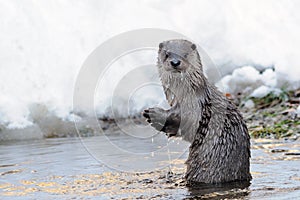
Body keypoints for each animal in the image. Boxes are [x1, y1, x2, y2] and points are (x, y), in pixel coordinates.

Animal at [142, 39, 251, 184]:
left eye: (185, 54)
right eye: (167, 54)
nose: (175, 62)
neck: (187, 95)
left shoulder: (196, 108)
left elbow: (187, 125)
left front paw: (156, 115)